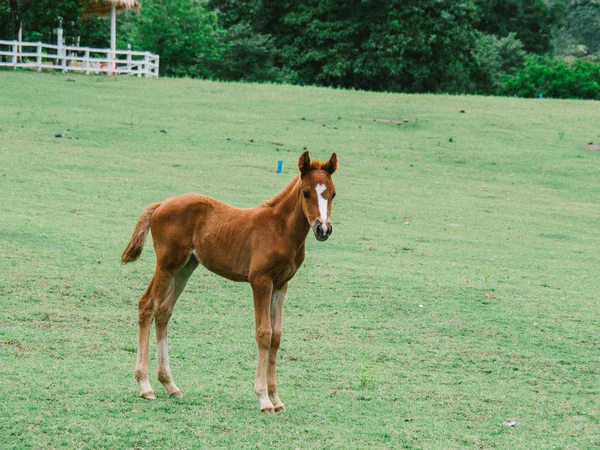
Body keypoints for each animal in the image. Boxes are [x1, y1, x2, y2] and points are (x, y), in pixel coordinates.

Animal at [122, 150, 338, 412]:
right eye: (306, 192)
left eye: (333, 193)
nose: (323, 229)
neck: (280, 230)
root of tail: (161, 204)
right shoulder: (260, 281)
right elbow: (264, 333)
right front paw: (264, 398)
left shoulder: (281, 285)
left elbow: (276, 336)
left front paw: (276, 399)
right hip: (167, 264)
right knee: (147, 305)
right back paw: (145, 386)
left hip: (185, 267)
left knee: (163, 312)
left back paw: (170, 385)